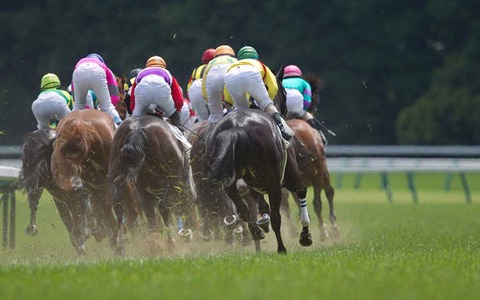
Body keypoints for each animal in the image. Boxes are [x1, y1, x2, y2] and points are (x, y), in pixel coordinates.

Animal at [109, 115, 196, 255]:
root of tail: (137, 128)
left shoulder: (144, 190)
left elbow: (150, 213)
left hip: (115, 178)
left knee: (118, 205)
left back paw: (121, 246)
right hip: (171, 181)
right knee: (163, 206)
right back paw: (171, 243)